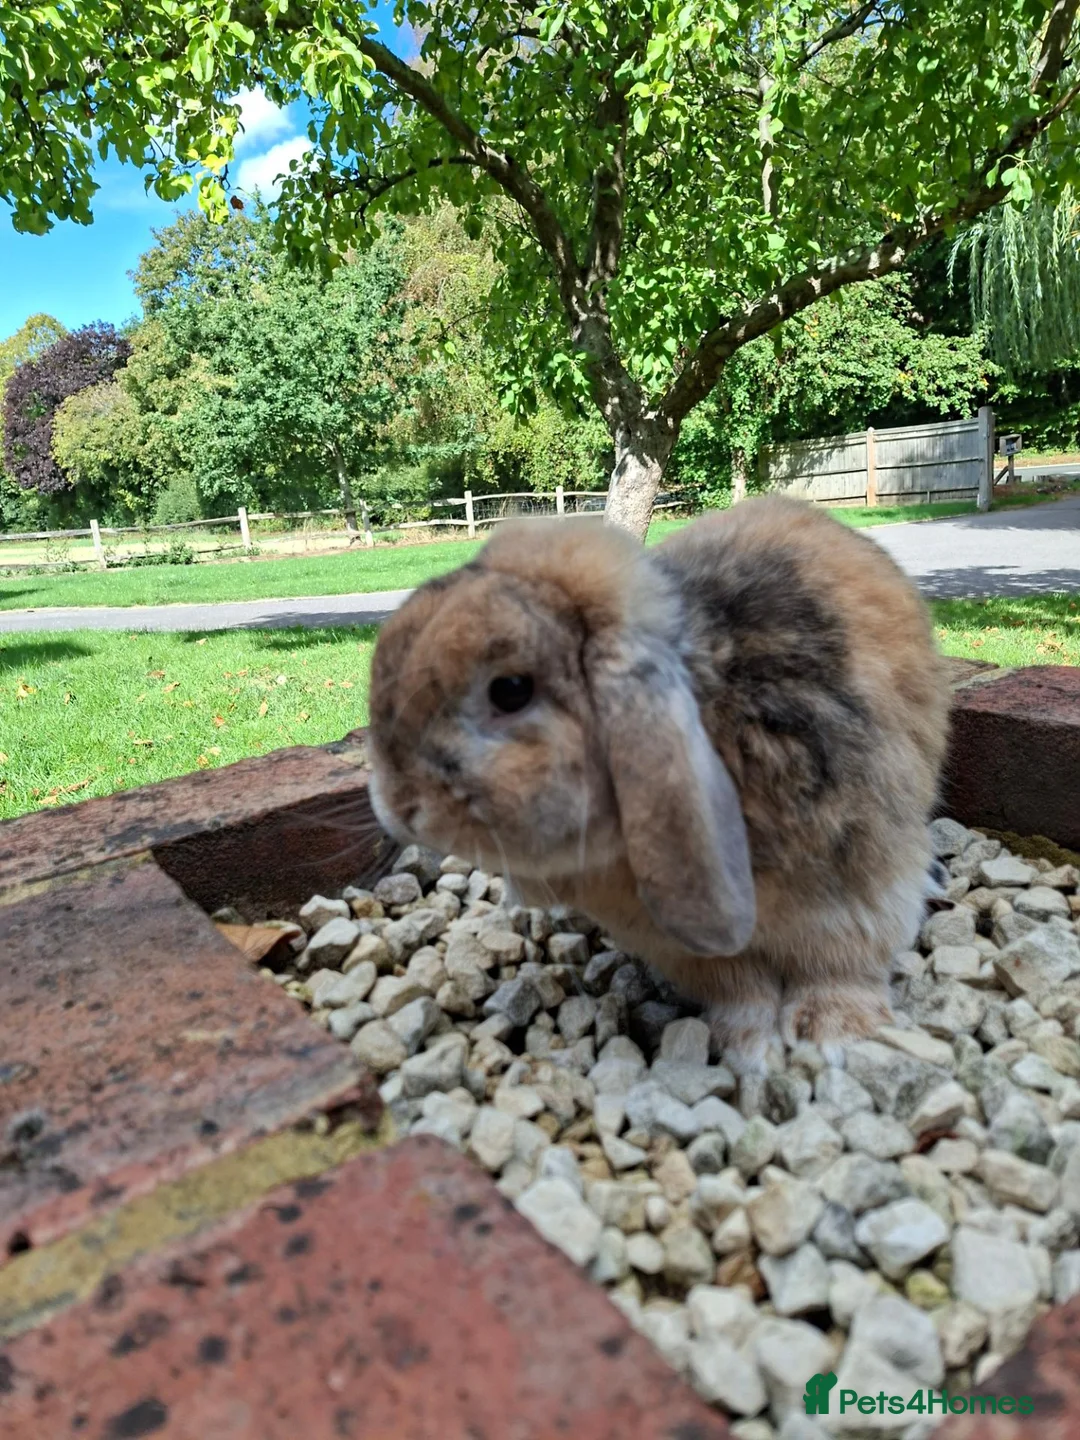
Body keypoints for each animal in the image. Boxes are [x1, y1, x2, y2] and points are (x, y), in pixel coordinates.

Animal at [366, 495, 951, 1079]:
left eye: (510, 690)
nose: (397, 807)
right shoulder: (689, 947)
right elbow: (743, 991)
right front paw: (745, 1047)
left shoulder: (855, 888)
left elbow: (841, 964)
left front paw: (829, 1034)